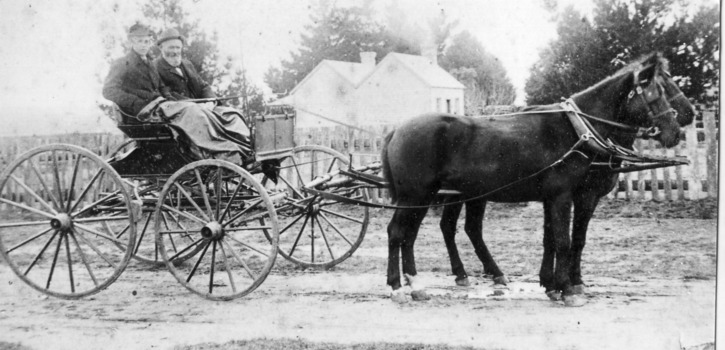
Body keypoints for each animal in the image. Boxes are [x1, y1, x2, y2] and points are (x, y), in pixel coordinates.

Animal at [382, 50, 688, 304]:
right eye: (656, 93)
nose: (679, 128)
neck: (578, 131)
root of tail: (397, 129)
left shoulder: (552, 197)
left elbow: (552, 239)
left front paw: (552, 285)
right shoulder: (566, 195)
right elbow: (566, 240)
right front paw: (568, 289)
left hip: (437, 196)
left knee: (416, 234)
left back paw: (418, 285)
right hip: (416, 195)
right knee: (398, 232)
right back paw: (398, 287)